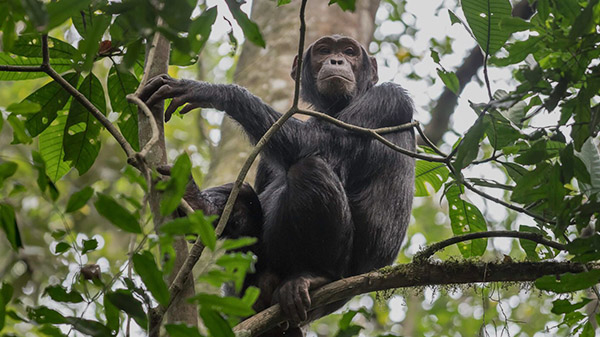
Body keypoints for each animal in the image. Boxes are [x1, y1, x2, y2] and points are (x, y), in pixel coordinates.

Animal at [142, 34, 414, 334]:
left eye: (350, 51)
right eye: (324, 51)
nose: (336, 60)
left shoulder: (387, 100)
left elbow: (321, 143)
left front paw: (212, 91)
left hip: (335, 289)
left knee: (309, 167)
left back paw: (314, 276)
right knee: (246, 198)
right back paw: (197, 203)